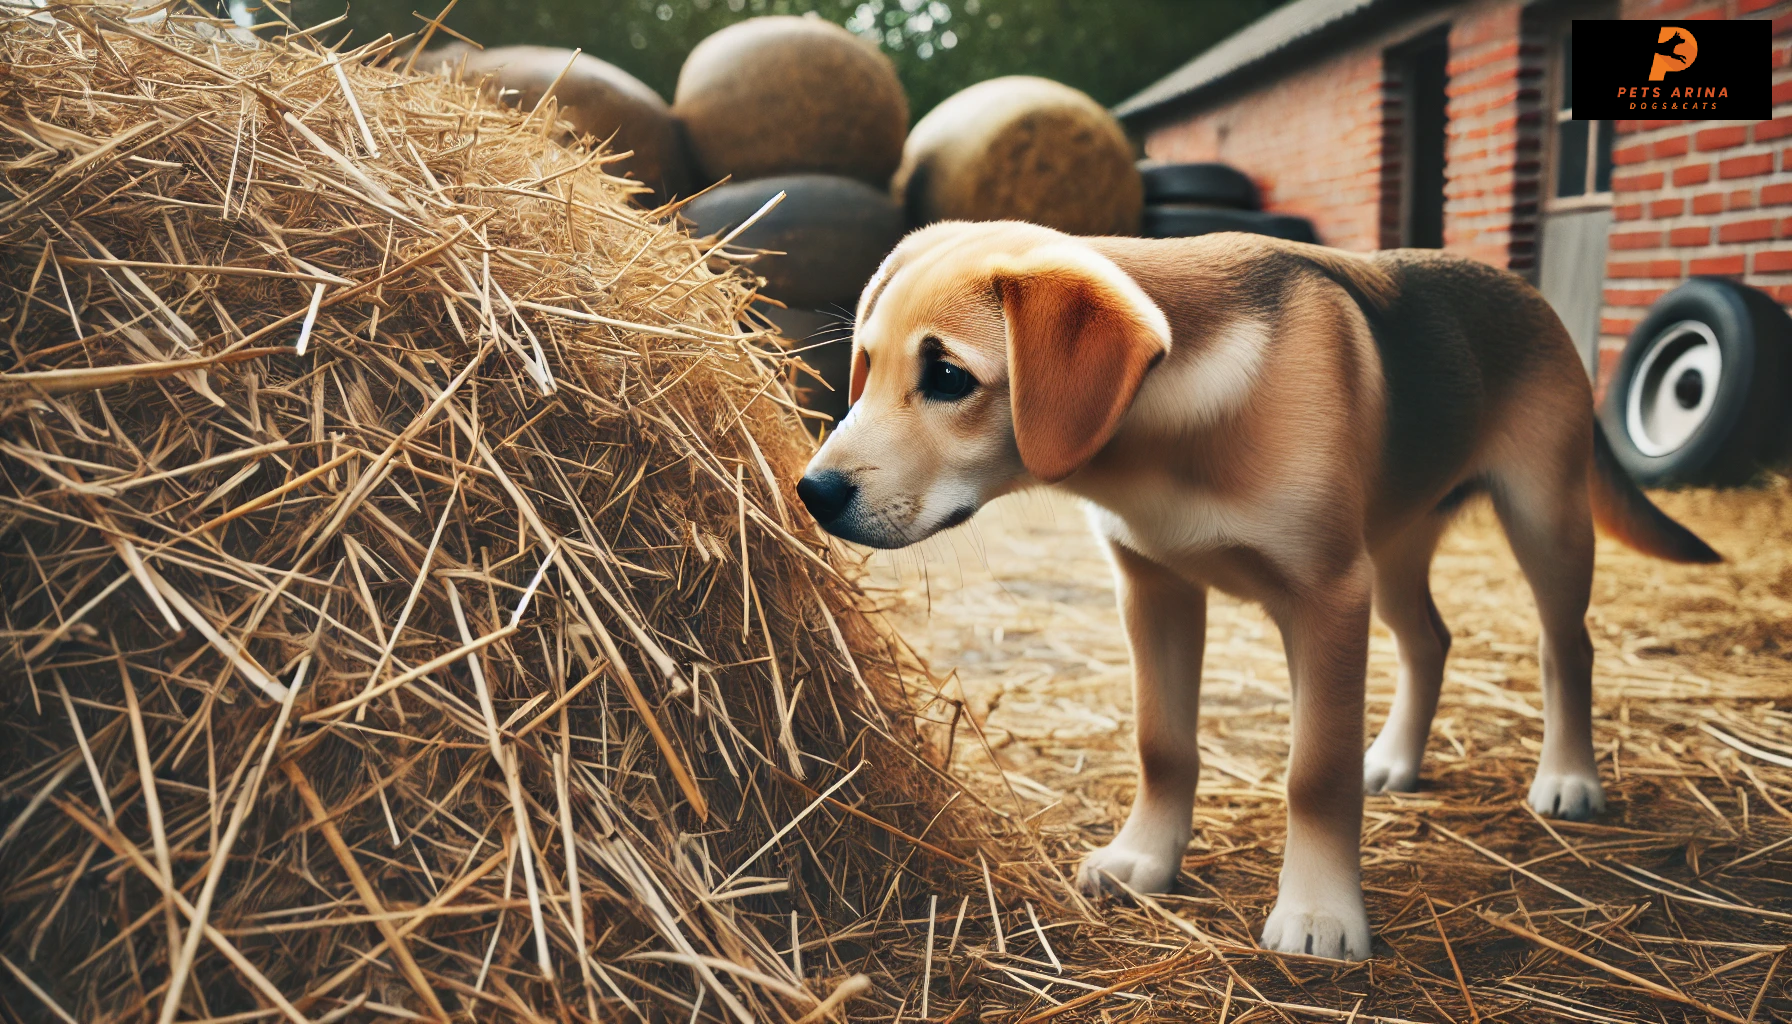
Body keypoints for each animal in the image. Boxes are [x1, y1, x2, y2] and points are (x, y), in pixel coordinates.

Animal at [802, 218, 1720, 961]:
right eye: (868, 368)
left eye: (949, 377)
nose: (812, 492)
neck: (1169, 428)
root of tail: (1527, 292)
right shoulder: (1154, 590)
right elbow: (1162, 745)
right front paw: (1145, 858)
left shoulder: (1326, 596)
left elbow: (1315, 771)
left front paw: (1319, 914)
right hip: (1393, 545)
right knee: (1429, 640)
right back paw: (1395, 758)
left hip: (1543, 519)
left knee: (1568, 645)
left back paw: (1569, 777)